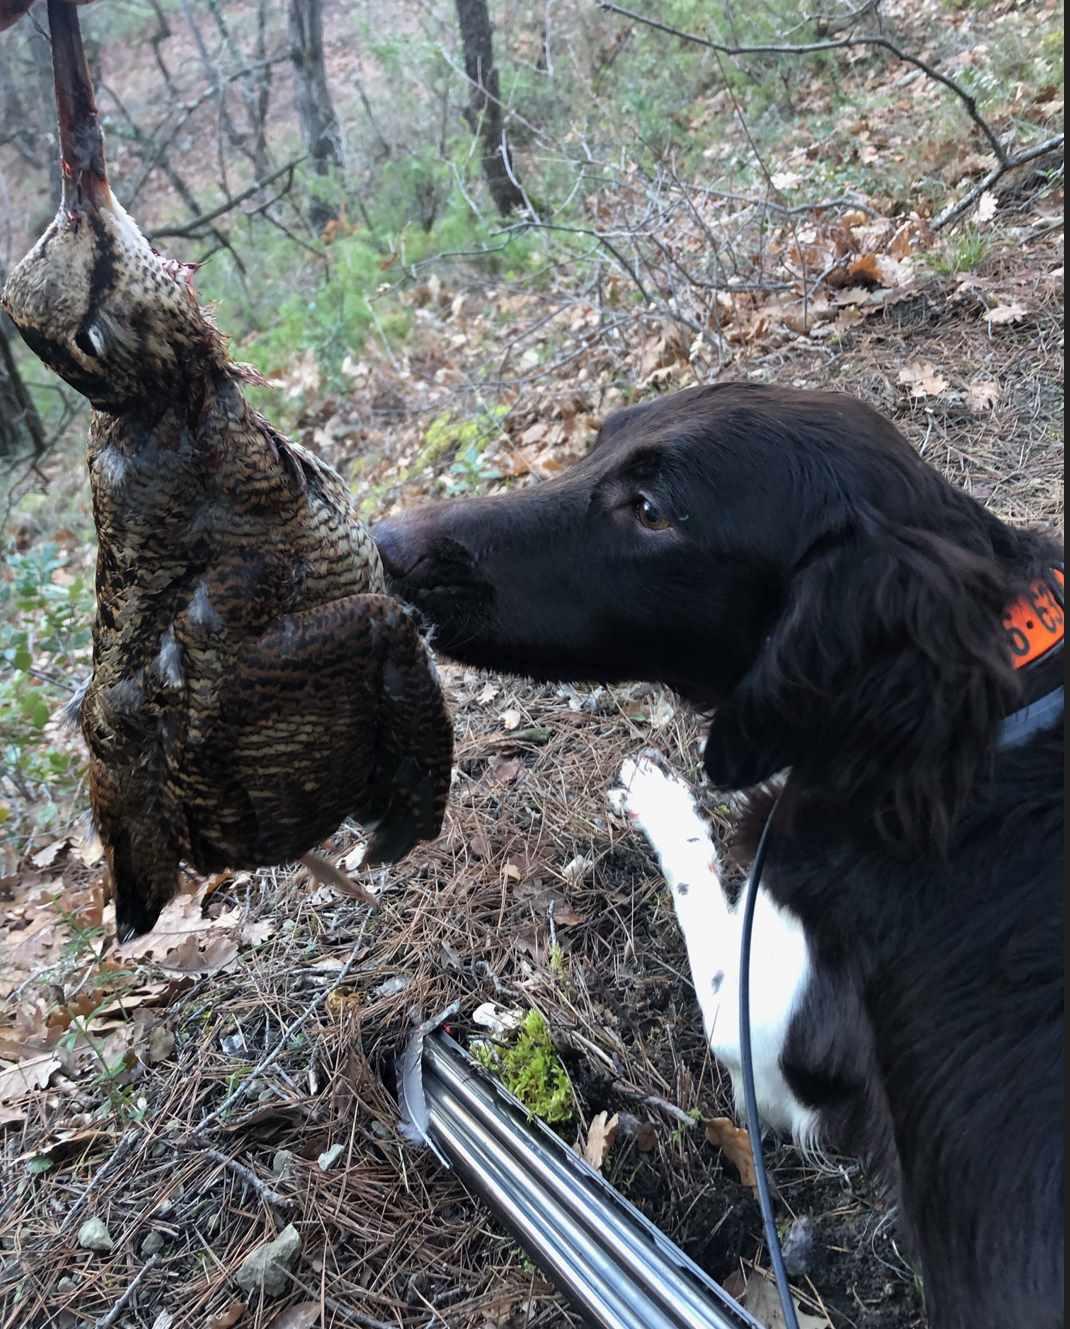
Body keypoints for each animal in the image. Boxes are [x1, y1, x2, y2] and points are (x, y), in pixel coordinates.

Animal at [374, 385, 1058, 1329]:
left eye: (652, 512)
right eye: (599, 441)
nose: (385, 542)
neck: (984, 717)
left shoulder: (769, 1054)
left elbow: (706, 902)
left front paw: (658, 796)